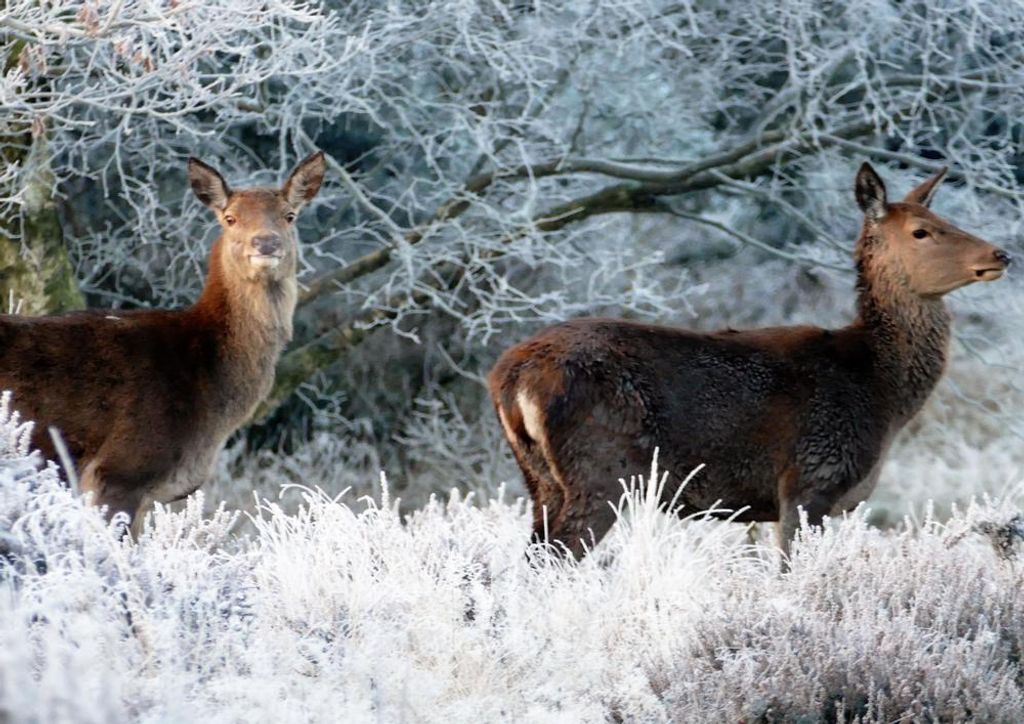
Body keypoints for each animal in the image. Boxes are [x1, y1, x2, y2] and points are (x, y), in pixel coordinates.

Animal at [489, 163, 1012, 561]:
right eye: (922, 231)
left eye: (944, 216)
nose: (1000, 253)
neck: (881, 394)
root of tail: (509, 378)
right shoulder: (809, 481)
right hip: (601, 470)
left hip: (540, 479)